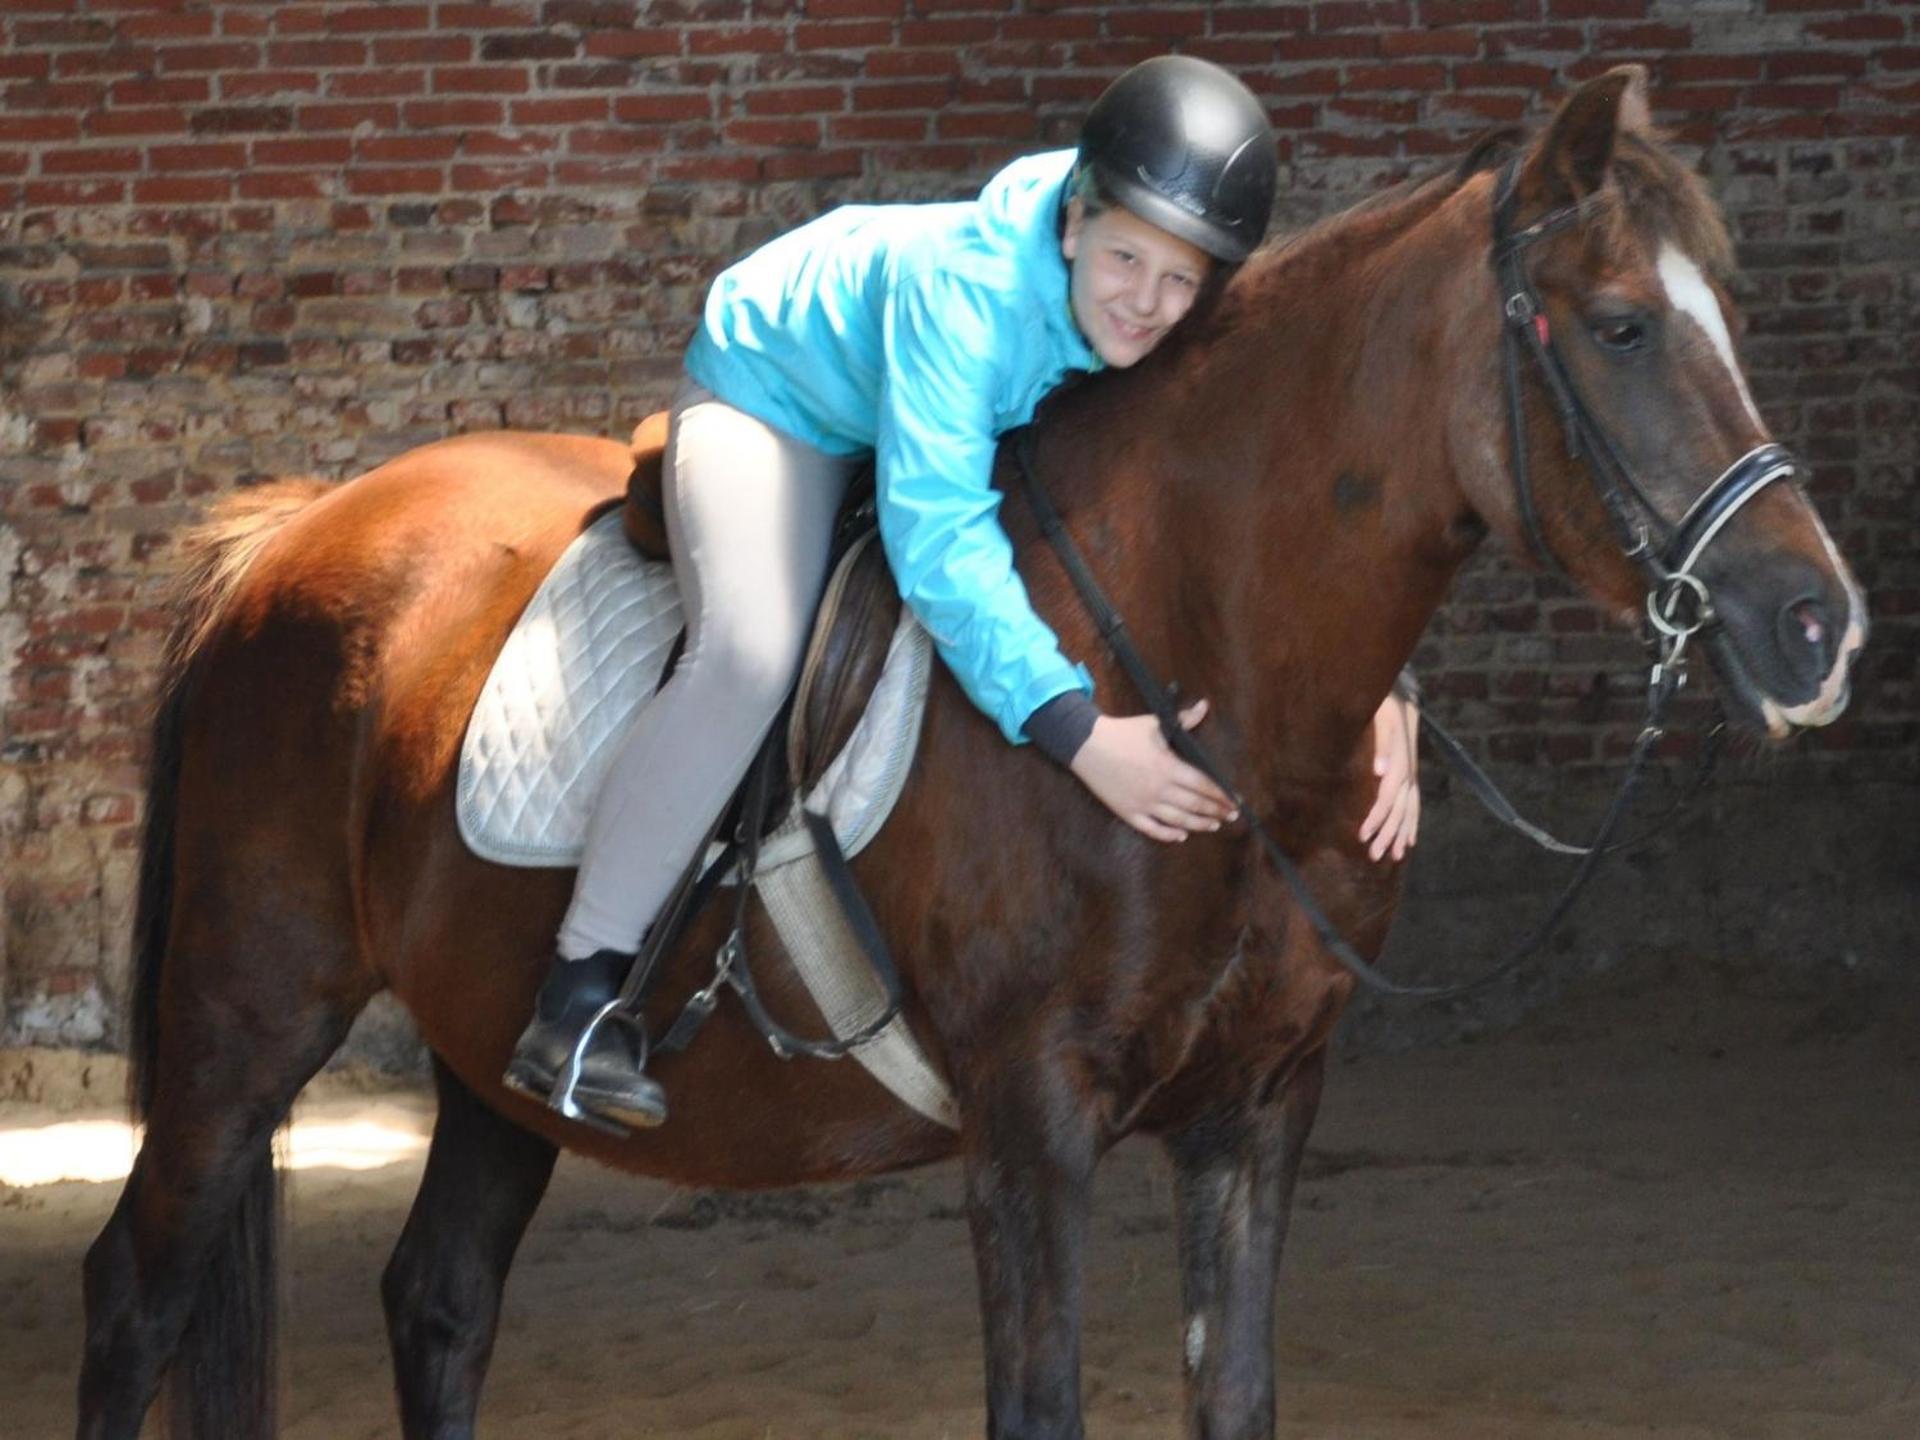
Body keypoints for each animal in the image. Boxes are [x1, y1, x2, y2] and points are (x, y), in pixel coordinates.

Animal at [78, 66, 1865, 1440]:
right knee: (137, 1292)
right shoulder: (1032, 1119)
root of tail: (293, 532)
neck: (1202, 657)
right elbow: (1040, 1402)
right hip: (246, 1014)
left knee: (439, 1300)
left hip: (478, 1052)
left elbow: (1237, 1395)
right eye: (1621, 328)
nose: (1816, 626)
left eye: (1726, 315)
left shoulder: (1259, 1112)